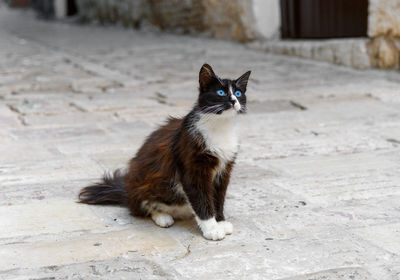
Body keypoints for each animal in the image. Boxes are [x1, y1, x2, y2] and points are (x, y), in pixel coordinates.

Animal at [78, 64, 250, 241]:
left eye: (238, 93)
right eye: (221, 92)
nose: (233, 101)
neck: (220, 126)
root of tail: (127, 193)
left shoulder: (224, 169)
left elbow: (218, 198)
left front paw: (220, 222)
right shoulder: (192, 169)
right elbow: (202, 198)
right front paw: (211, 228)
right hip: (142, 185)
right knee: (143, 208)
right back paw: (162, 217)